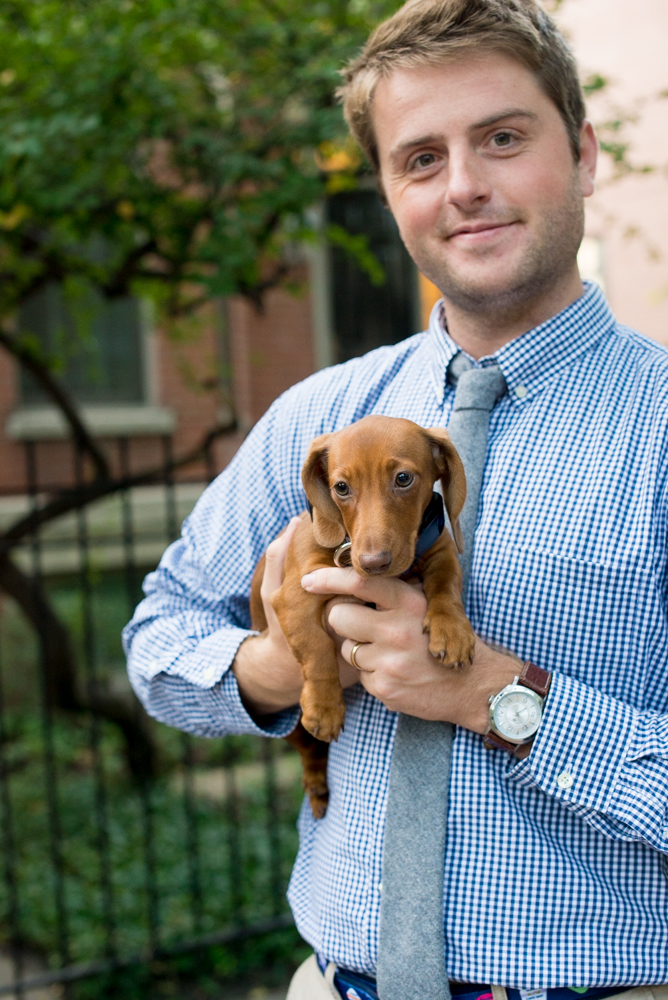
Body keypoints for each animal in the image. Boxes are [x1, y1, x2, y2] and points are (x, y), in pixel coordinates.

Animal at [250, 418, 474, 816]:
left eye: (403, 478)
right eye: (341, 487)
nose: (373, 564)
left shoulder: (441, 549)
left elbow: (446, 583)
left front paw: (452, 629)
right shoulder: (294, 596)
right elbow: (317, 648)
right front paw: (325, 706)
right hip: (293, 729)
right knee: (310, 751)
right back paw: (317, 788)